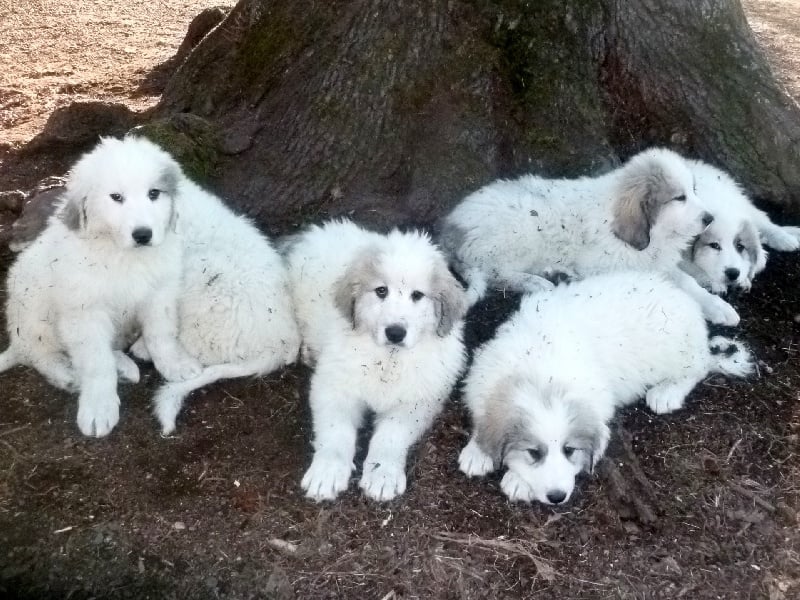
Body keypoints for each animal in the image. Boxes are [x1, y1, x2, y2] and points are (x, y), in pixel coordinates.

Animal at [0, 136, 200, 436]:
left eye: (154, 193)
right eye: (116, 197)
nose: (143, 235)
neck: (122, 254)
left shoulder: (159, 293)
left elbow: (161, 336)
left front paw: (175, 364)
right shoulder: (85, 311)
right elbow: (96, 362)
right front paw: (98, 407)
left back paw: (123, 366)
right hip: (33, 311)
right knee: (41, 355)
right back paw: (68, 376)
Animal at [282, 219, 466, 502]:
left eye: (417, 295)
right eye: (381, 291)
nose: (395, 333)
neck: (388, 359)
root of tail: (319, 230)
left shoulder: (416, 403)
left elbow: (390, 436)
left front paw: (383, 475)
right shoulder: (333, 389)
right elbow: (336, 432)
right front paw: (327, 472)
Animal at [460, 272, 752, 506]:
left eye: (570, 450)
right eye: (534, 453)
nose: (557, 497)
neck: (540, 375)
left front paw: (518, 481)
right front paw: (477, 451)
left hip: (678, 352)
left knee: (697, 370)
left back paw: (667, 393)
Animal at [680, 158, 800, 292]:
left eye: (740, 246)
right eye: (714, 245)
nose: (733, 273)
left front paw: (742, 280)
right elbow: (690, 265)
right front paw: (711, 282)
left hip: (743, 204)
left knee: (765, 223)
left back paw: (787, 239)